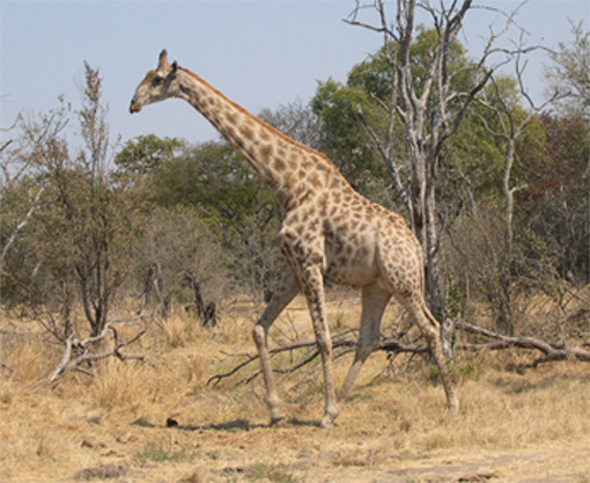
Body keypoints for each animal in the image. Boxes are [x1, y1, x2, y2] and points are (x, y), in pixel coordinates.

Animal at [131, 49, 462, 428]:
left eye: (157, 79)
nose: (133, 103)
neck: (284, 183)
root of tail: (417, 247)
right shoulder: (292, 266)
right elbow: (259, 328)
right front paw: (276, 410)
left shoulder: (310, 262)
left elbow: (323, 339)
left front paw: (319, 410)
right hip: (376, 286)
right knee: (368, 339)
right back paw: (339, 408)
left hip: (403, 282)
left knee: (431, 327)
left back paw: (451, 403)